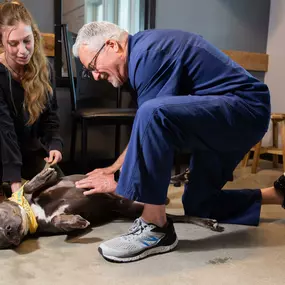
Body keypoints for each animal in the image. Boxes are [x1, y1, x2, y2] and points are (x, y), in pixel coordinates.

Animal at [0, 168, 223, 247]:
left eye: (0, 215)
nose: (8, 232)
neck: (31, 212)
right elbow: (61, 219)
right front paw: (75, 221)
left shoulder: (55, 182)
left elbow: (30, 184)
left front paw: (41, 175)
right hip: (134, 207)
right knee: (175, 217)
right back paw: (207, 221)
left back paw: (179, 177)